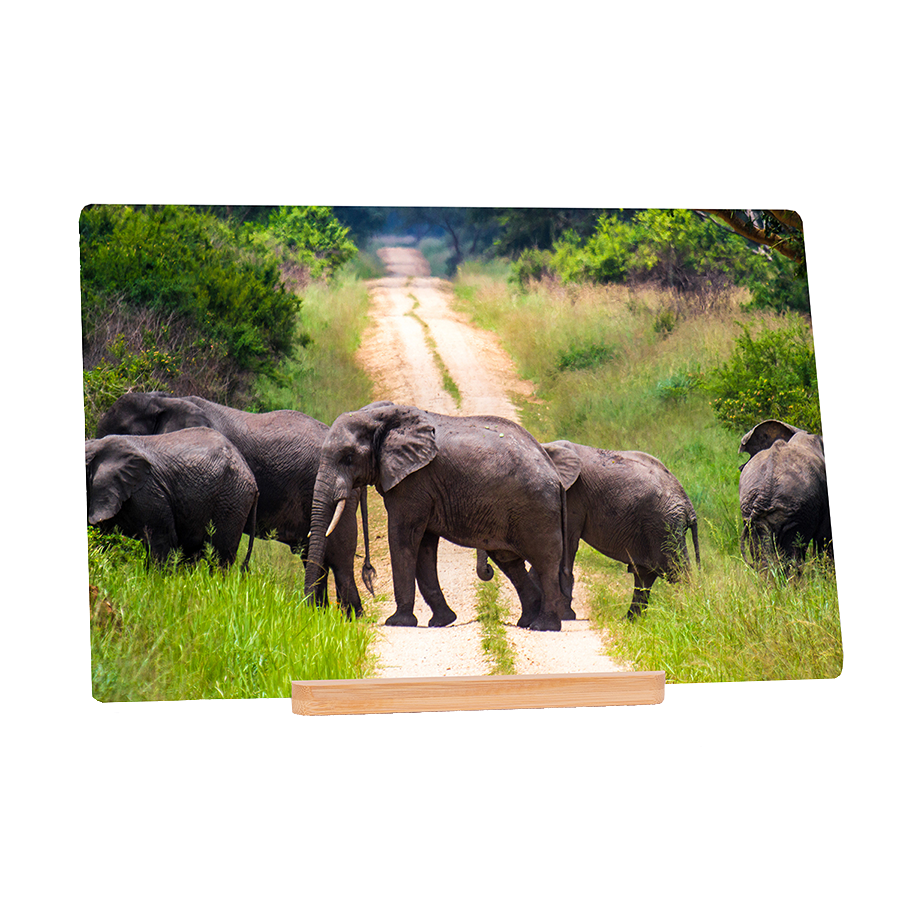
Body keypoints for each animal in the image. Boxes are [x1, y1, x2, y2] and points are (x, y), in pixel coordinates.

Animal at [305, 401, 582, 632]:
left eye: (348, 457)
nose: (310, 611)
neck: (381, 415)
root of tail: (556, 475)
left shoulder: (414, 481)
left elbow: (403, 537)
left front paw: (397, 622)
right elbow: (424, 547)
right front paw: (442, 621)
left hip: (536, 509)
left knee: (545, 562)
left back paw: (543, 626)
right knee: (509, 561)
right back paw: (526, 621)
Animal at [477, 441, 700, 619]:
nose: (488, 570)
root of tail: (689, 506)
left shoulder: (573, 495)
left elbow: (566, 543)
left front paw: (565, 615)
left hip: (664, 526)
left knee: (677, 571)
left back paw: (686, 613)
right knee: (644, 575)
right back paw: (630, 621)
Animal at [738, 419, 831, 572]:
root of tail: (765, 494)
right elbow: (825, 539)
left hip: (756, 512)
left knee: (763, 555)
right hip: (798, 511)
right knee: (792, 555)